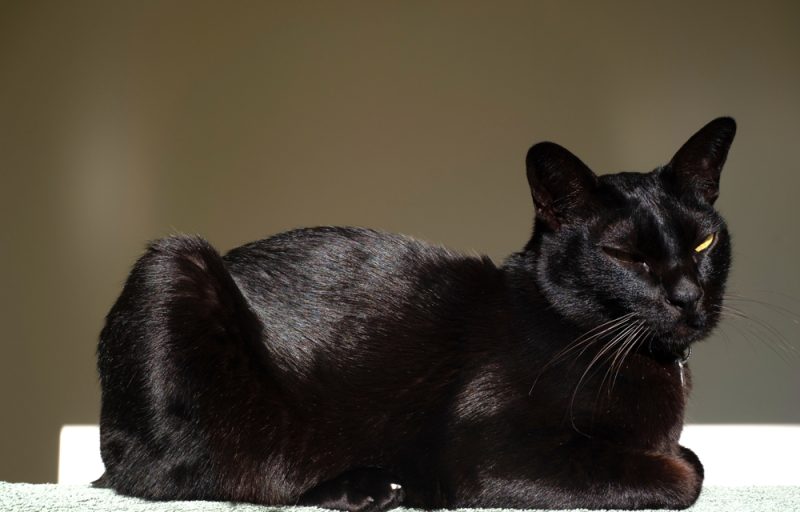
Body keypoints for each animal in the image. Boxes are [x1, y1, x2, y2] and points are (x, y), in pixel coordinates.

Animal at [95, 118, 736, 510]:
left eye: (703, 243)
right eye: (627, 256)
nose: (687, 296)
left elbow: (691, 457)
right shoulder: (494, 451)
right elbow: (685, 472)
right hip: (174, 264)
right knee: (198, 473)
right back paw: (373, 486)